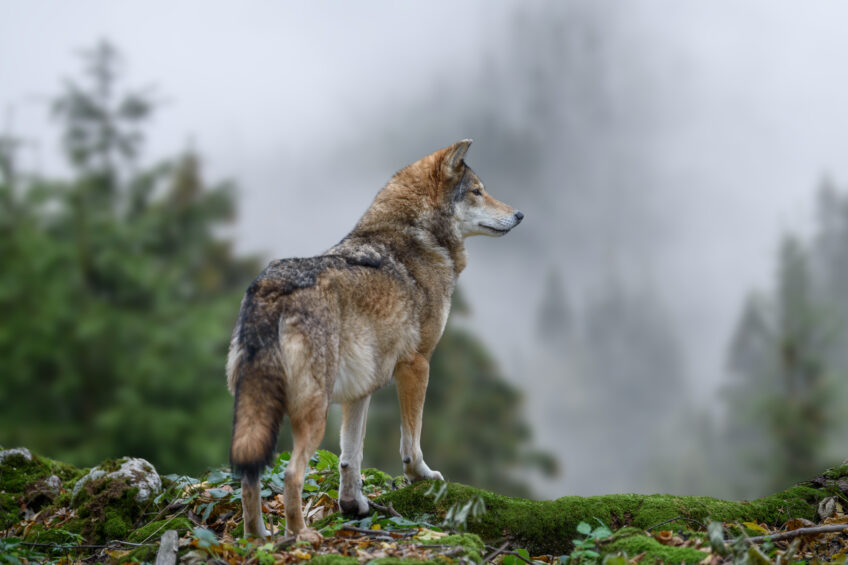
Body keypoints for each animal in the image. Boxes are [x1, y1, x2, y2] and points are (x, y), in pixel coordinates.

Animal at [226, 139, 523, 543]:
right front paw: (421, 477)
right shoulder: (417, 365)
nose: (519, 214)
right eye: (478, 191)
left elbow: (350, 457)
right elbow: (411, 441)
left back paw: (258, 537)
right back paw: (301, 535)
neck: (417, 237)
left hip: (259, 410)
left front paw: (353, 505)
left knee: (249, 475)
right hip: (313, 412)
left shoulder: (360, 390)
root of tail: (271, 289)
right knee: (290, 474)